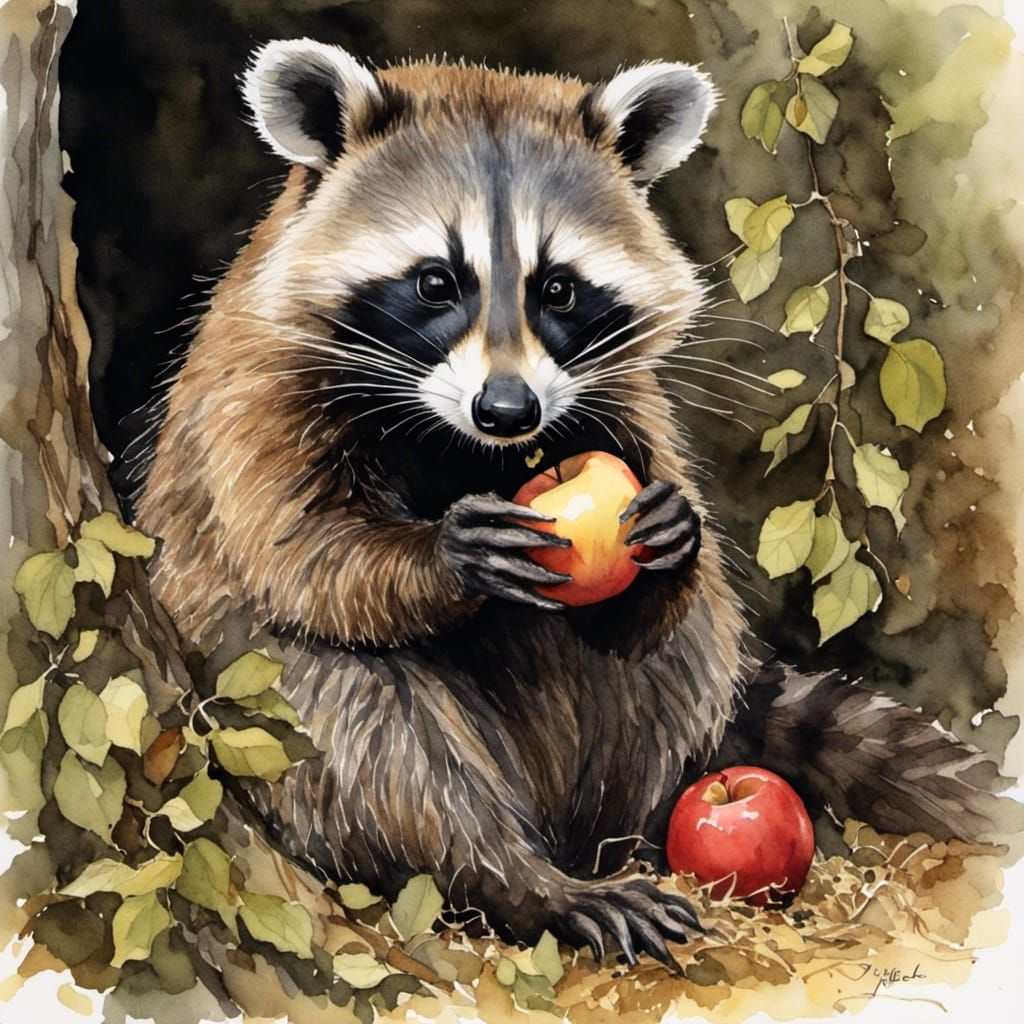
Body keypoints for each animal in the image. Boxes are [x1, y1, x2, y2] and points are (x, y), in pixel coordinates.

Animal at [136, 40, 1016, 967]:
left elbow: (660, 597)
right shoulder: (257, 388)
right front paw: (443, 555)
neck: (465, 446)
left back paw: (609, 842)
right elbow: (300, 550)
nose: (508, 411)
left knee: (677, 653)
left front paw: (675, 538)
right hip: (257, 705)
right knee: (362, 725)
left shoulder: (621, 401)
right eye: (436, 282)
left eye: (557, 288)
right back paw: (518, 880)